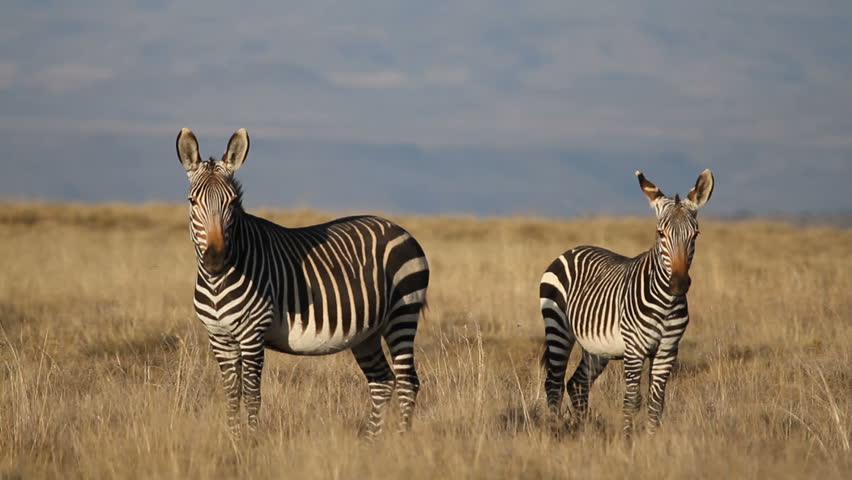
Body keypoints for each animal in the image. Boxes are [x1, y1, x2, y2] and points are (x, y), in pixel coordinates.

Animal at [176, 128, 430, 438]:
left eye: (233, 201)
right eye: (192, 201)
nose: (215, 258)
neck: (217, 283)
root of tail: (398, 228)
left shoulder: (252, 333)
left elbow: (252, 394)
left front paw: (250, 442)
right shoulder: (219, 337)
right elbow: (232, 394)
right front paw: (234, 440)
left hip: (402, 314)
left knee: (408, 383)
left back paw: (401, 440)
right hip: (367, 333)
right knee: (382, 382)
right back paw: (372, 443)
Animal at [544, 169, 716, 436]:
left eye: (695, 234)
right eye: (660, 233)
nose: (678, 284)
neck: (665, 304)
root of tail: (572, 249)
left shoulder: (667, 350)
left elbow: (656, 402)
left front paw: (652, 439)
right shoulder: (634, 350)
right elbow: (632, 400)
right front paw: (628, 440)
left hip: (596, 348)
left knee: (577, 383)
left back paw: (584, 431)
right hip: (558, 330)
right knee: (554, 383)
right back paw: (555, 430)